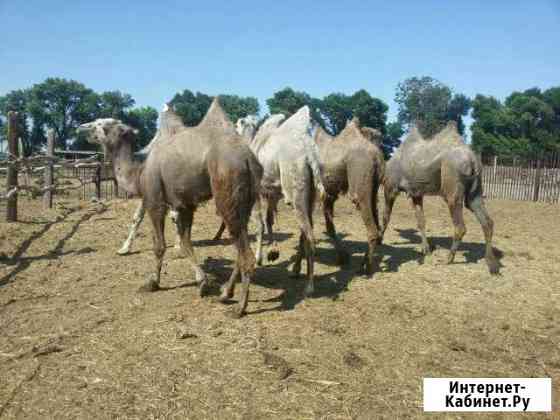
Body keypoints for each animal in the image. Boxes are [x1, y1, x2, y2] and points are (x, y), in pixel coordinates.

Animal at [77, 97, 264, 316]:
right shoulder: (185, 204)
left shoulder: (155, 200)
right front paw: (202, 282)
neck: (139, 172)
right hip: (246, 199)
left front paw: (152, 283)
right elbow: (185, 242)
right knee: (239, 246)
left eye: (102, 124)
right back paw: (226, 294)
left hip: (226, 190)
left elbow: (159, 245)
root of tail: (248, 159)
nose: (81, 127)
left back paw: (239, 308)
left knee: (244, 252)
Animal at [312, 118, 388, 276]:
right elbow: (329, 227)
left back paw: (367, 268)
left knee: (370, 225)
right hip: (374, 184)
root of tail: (376, 155)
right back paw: (365, 262)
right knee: (375, 213)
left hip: (359, 175)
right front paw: (342, 257)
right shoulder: (329, 193)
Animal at [380, 120, 498, 274]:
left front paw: (379, 239)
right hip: (475, 191)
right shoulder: (416, 193)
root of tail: (472, 160)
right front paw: (426, 249)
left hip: (452, 187)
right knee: (487, 221)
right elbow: (421, 221)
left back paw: (448, 259)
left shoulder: (390, 187)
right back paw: (492, 264)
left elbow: (386, 216)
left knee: (460, 226)